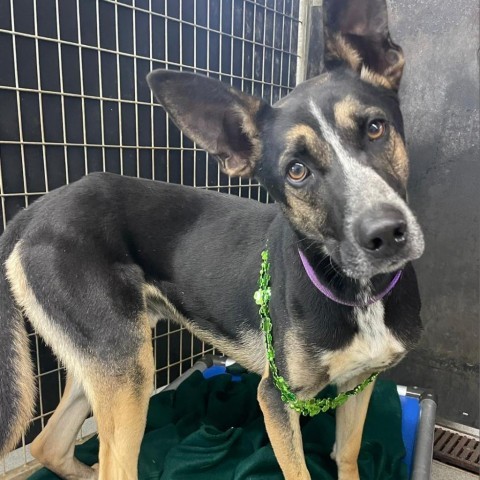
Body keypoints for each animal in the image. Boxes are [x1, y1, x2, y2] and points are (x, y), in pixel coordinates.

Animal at [0, 0, 422, 480]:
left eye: (375, 128)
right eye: (296, 171)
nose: (386, 233)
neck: (356, 290)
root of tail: (34, 211)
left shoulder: (359, 382)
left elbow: (348, 454)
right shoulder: (276, 398)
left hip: (105, 355)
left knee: (48, 443)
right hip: (128, 368)